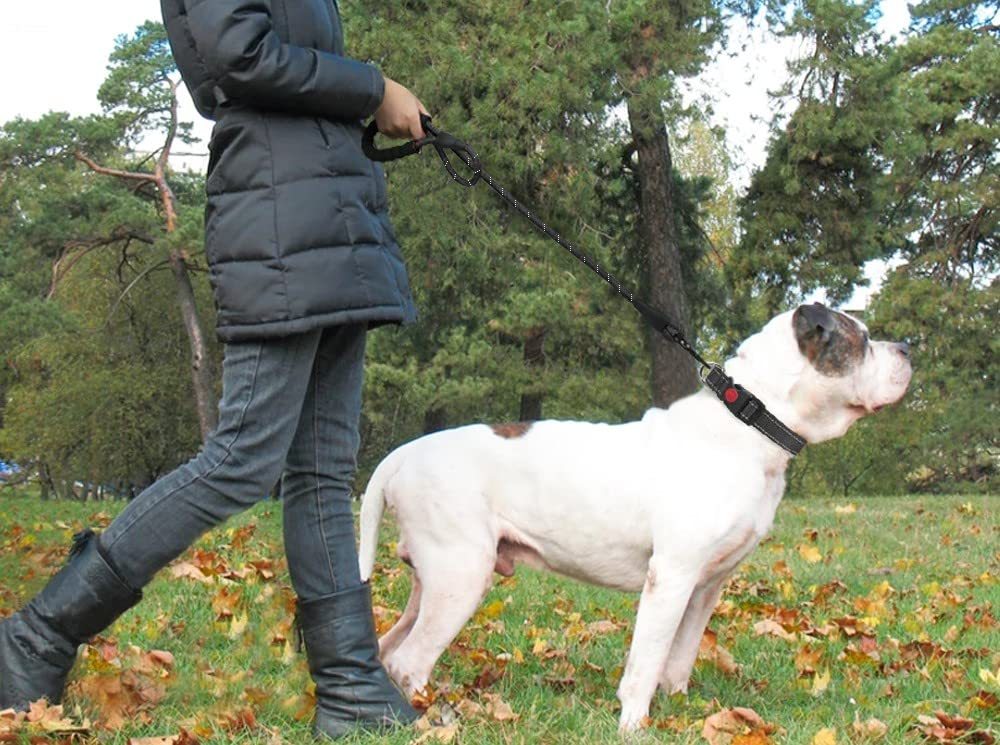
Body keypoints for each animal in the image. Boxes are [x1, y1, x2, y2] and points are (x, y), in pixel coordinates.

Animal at [356, 304, 912, 732]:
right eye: (862, 340)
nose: (907, 349)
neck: (750, 422)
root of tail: (403, 453)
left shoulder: (706, 586)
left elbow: (680, 656)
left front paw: (683, 711)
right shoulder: (671, 577)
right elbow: (648, 659)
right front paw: (634, 725)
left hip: (433, 582)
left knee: (391, 647)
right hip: (461, 578)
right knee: (410, 660)